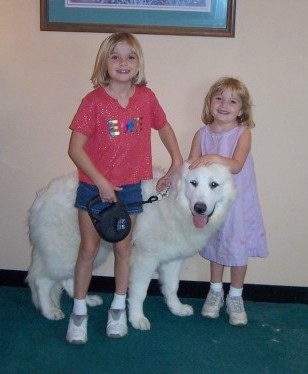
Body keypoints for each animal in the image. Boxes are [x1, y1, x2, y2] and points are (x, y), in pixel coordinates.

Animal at [26, 163, 235, 330]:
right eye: (193, 183)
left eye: (213, 185)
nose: (200, 207)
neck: (174, 204)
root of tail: (41, 196)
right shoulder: (145, 261)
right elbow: (139, 293)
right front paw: (136, 319)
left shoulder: (173, 260)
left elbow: (172, 287)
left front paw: (176, 308)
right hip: (66, 252)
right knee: (42, 280)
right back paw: (50, 311)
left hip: (87, 251)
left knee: (70, 279)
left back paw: (88, 300)